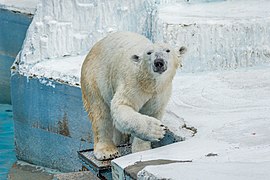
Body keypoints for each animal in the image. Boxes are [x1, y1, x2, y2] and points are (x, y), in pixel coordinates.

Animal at [80, 31, 186, 160]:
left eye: (167, 50)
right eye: (149, 52)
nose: (159, 62)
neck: (150, 83)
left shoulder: (160, 93)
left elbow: (151, 111)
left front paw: (142, 150)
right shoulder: (132, 84)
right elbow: (121, 106)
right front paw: (157, 130)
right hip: (95, 78)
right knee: (100, 113)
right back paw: (107, 151)